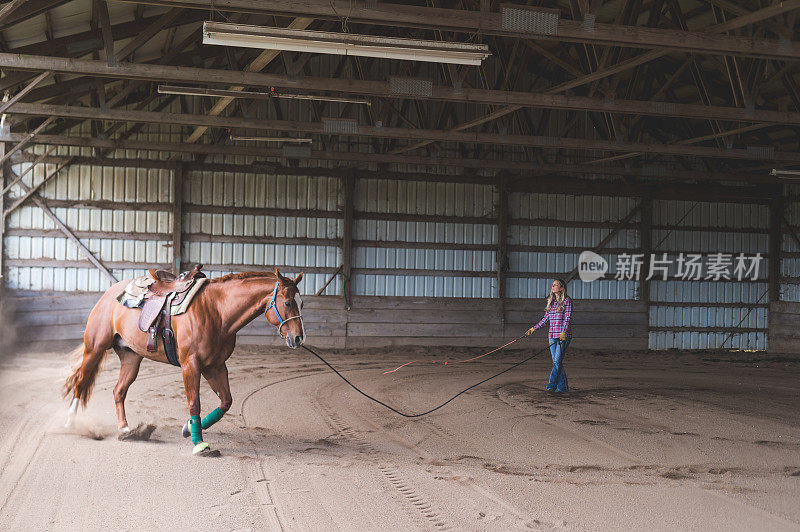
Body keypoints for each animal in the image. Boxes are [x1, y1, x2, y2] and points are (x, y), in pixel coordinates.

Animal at [62, 270, 304, 454]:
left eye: (301, 303)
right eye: (288, 302)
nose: (299, 338)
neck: (217, 311)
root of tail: (109, 294)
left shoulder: (215, 366)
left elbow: (225, 402)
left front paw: (188, 429)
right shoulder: (191, 365)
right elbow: (194, 402)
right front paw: (199, 444)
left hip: (131, 358)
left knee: (118, 390)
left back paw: (125, 430)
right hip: (94, 348)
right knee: (81, 383)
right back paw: (69, 423)